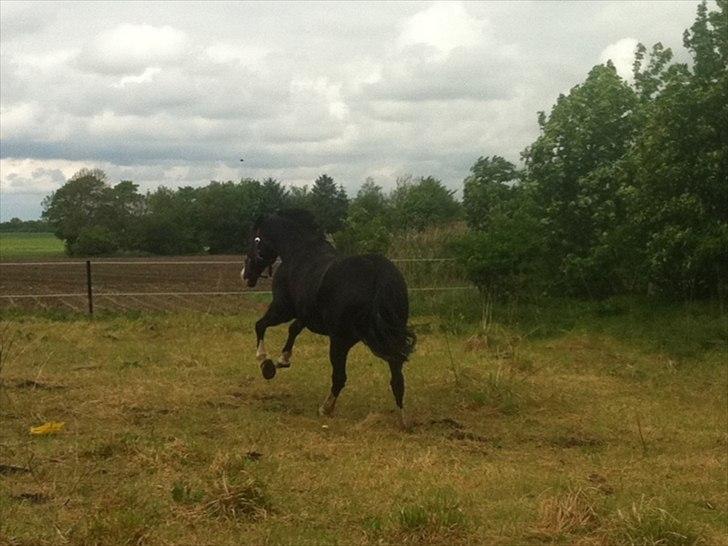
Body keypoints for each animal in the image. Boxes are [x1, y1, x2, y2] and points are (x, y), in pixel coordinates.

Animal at [242, 208, 416, 424]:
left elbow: (260, 325)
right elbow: (293, 329)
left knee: (340, 377)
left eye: (253, 240)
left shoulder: (283, 309)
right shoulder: (306, 314)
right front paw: (283, 359)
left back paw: (325, 408)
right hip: (389, 337)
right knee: (397, 376)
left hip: (340, 340)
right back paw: (403, 419)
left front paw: (266, 364)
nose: (245, 275)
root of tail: (379, 275)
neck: (298, 251)